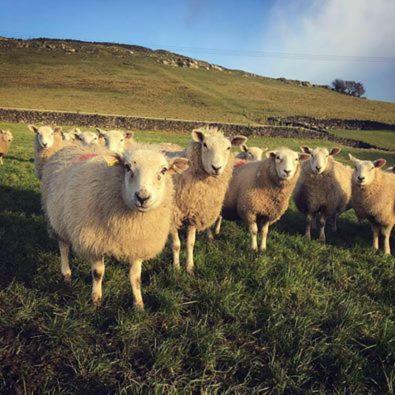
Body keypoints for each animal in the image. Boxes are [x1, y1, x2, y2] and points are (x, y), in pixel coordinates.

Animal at [41, 143, 189, 310]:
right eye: (127, 167)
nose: (142, 197)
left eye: (163, 170)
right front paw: (96, 300)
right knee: (64, 248)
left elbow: (135, 277)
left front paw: (139, 304)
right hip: (57, 221)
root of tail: (74, 146)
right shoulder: (94, 241)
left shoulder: (137, 244)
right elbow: (98, 273)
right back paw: (66, 273)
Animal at [171, 128, 246, 274]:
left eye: (228, 147)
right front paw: (176, 268)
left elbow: (190, 243)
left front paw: (189, 267)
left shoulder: (194, 212)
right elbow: (176, 245)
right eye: (204, 145)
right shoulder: (172, 214)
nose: (216, 168)